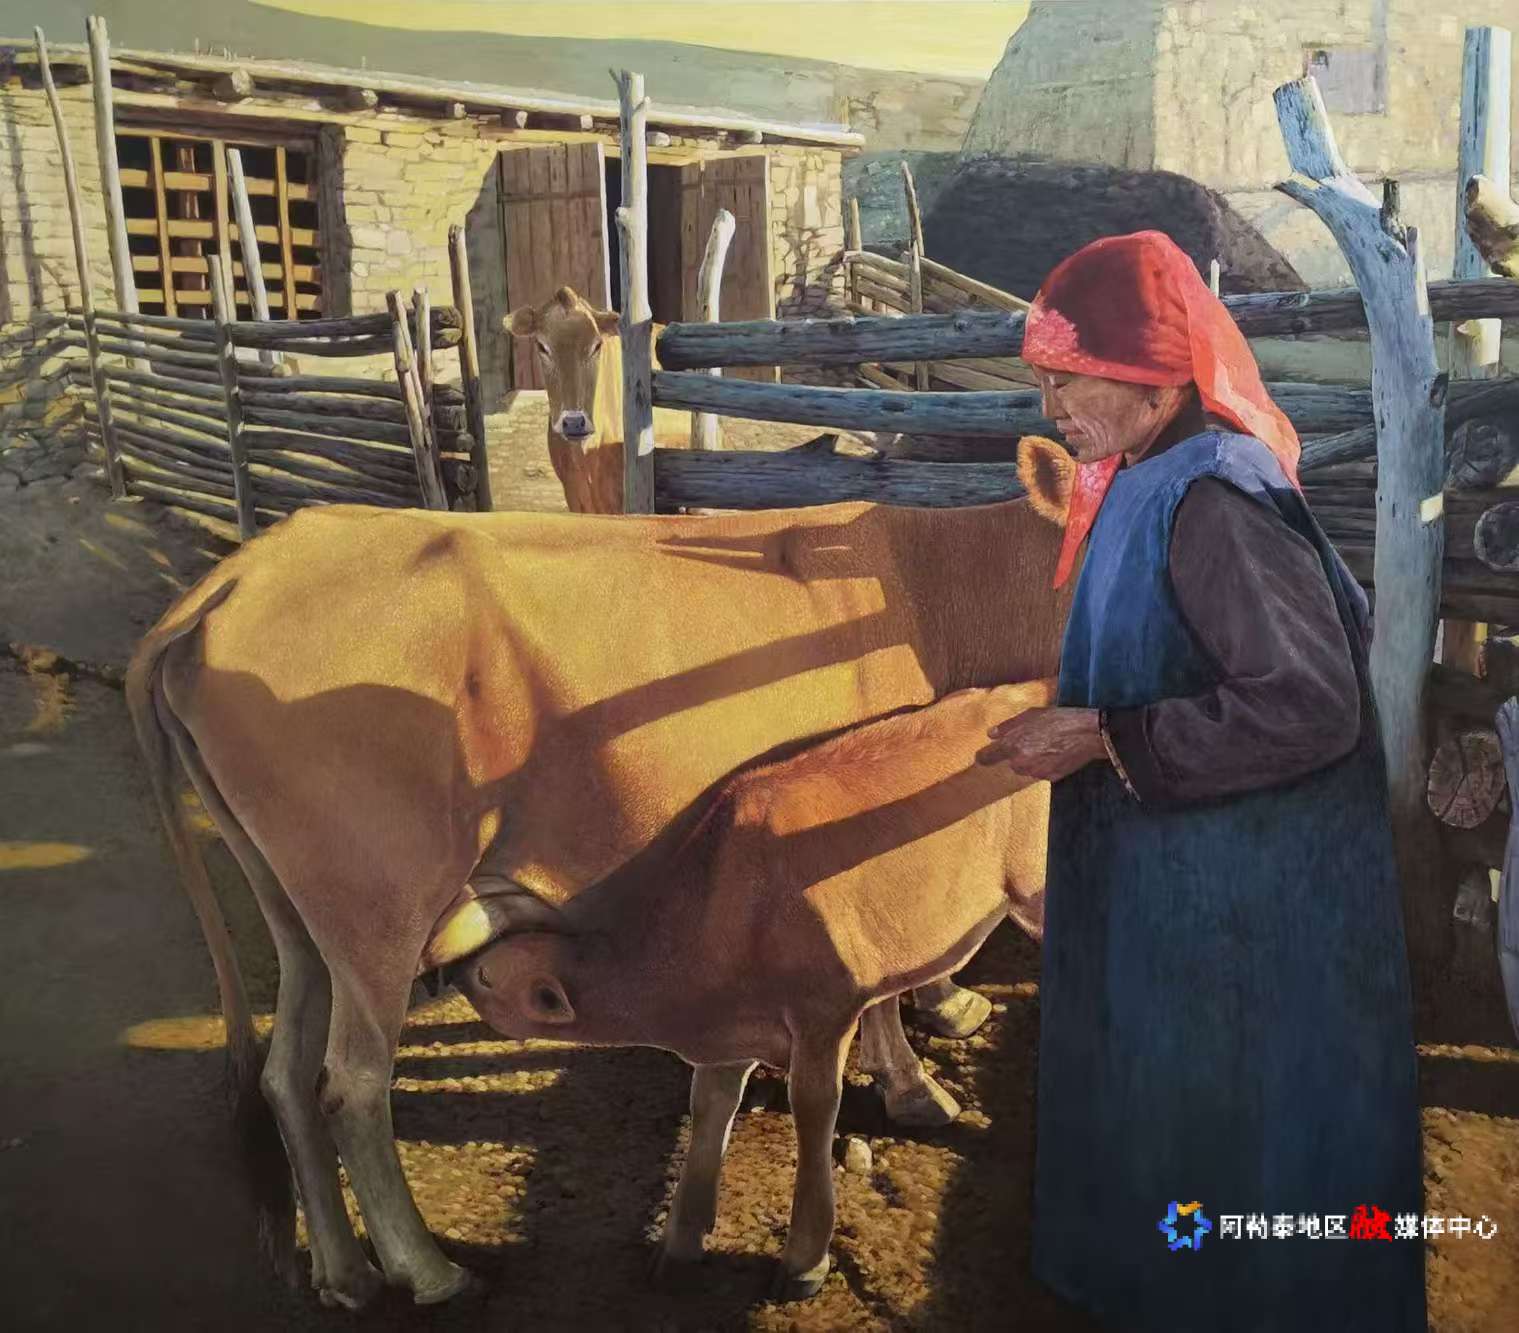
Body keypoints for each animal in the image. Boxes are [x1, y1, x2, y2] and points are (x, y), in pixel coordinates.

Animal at [454, 679, 1055, 1300]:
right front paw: (679, 1243)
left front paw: (803, 1258)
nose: (451, 974)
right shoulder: (727, 1036)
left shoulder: (823, 1013)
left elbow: (813, 1107)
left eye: (488, 975)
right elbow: (709, 1108)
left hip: (1036, 892)